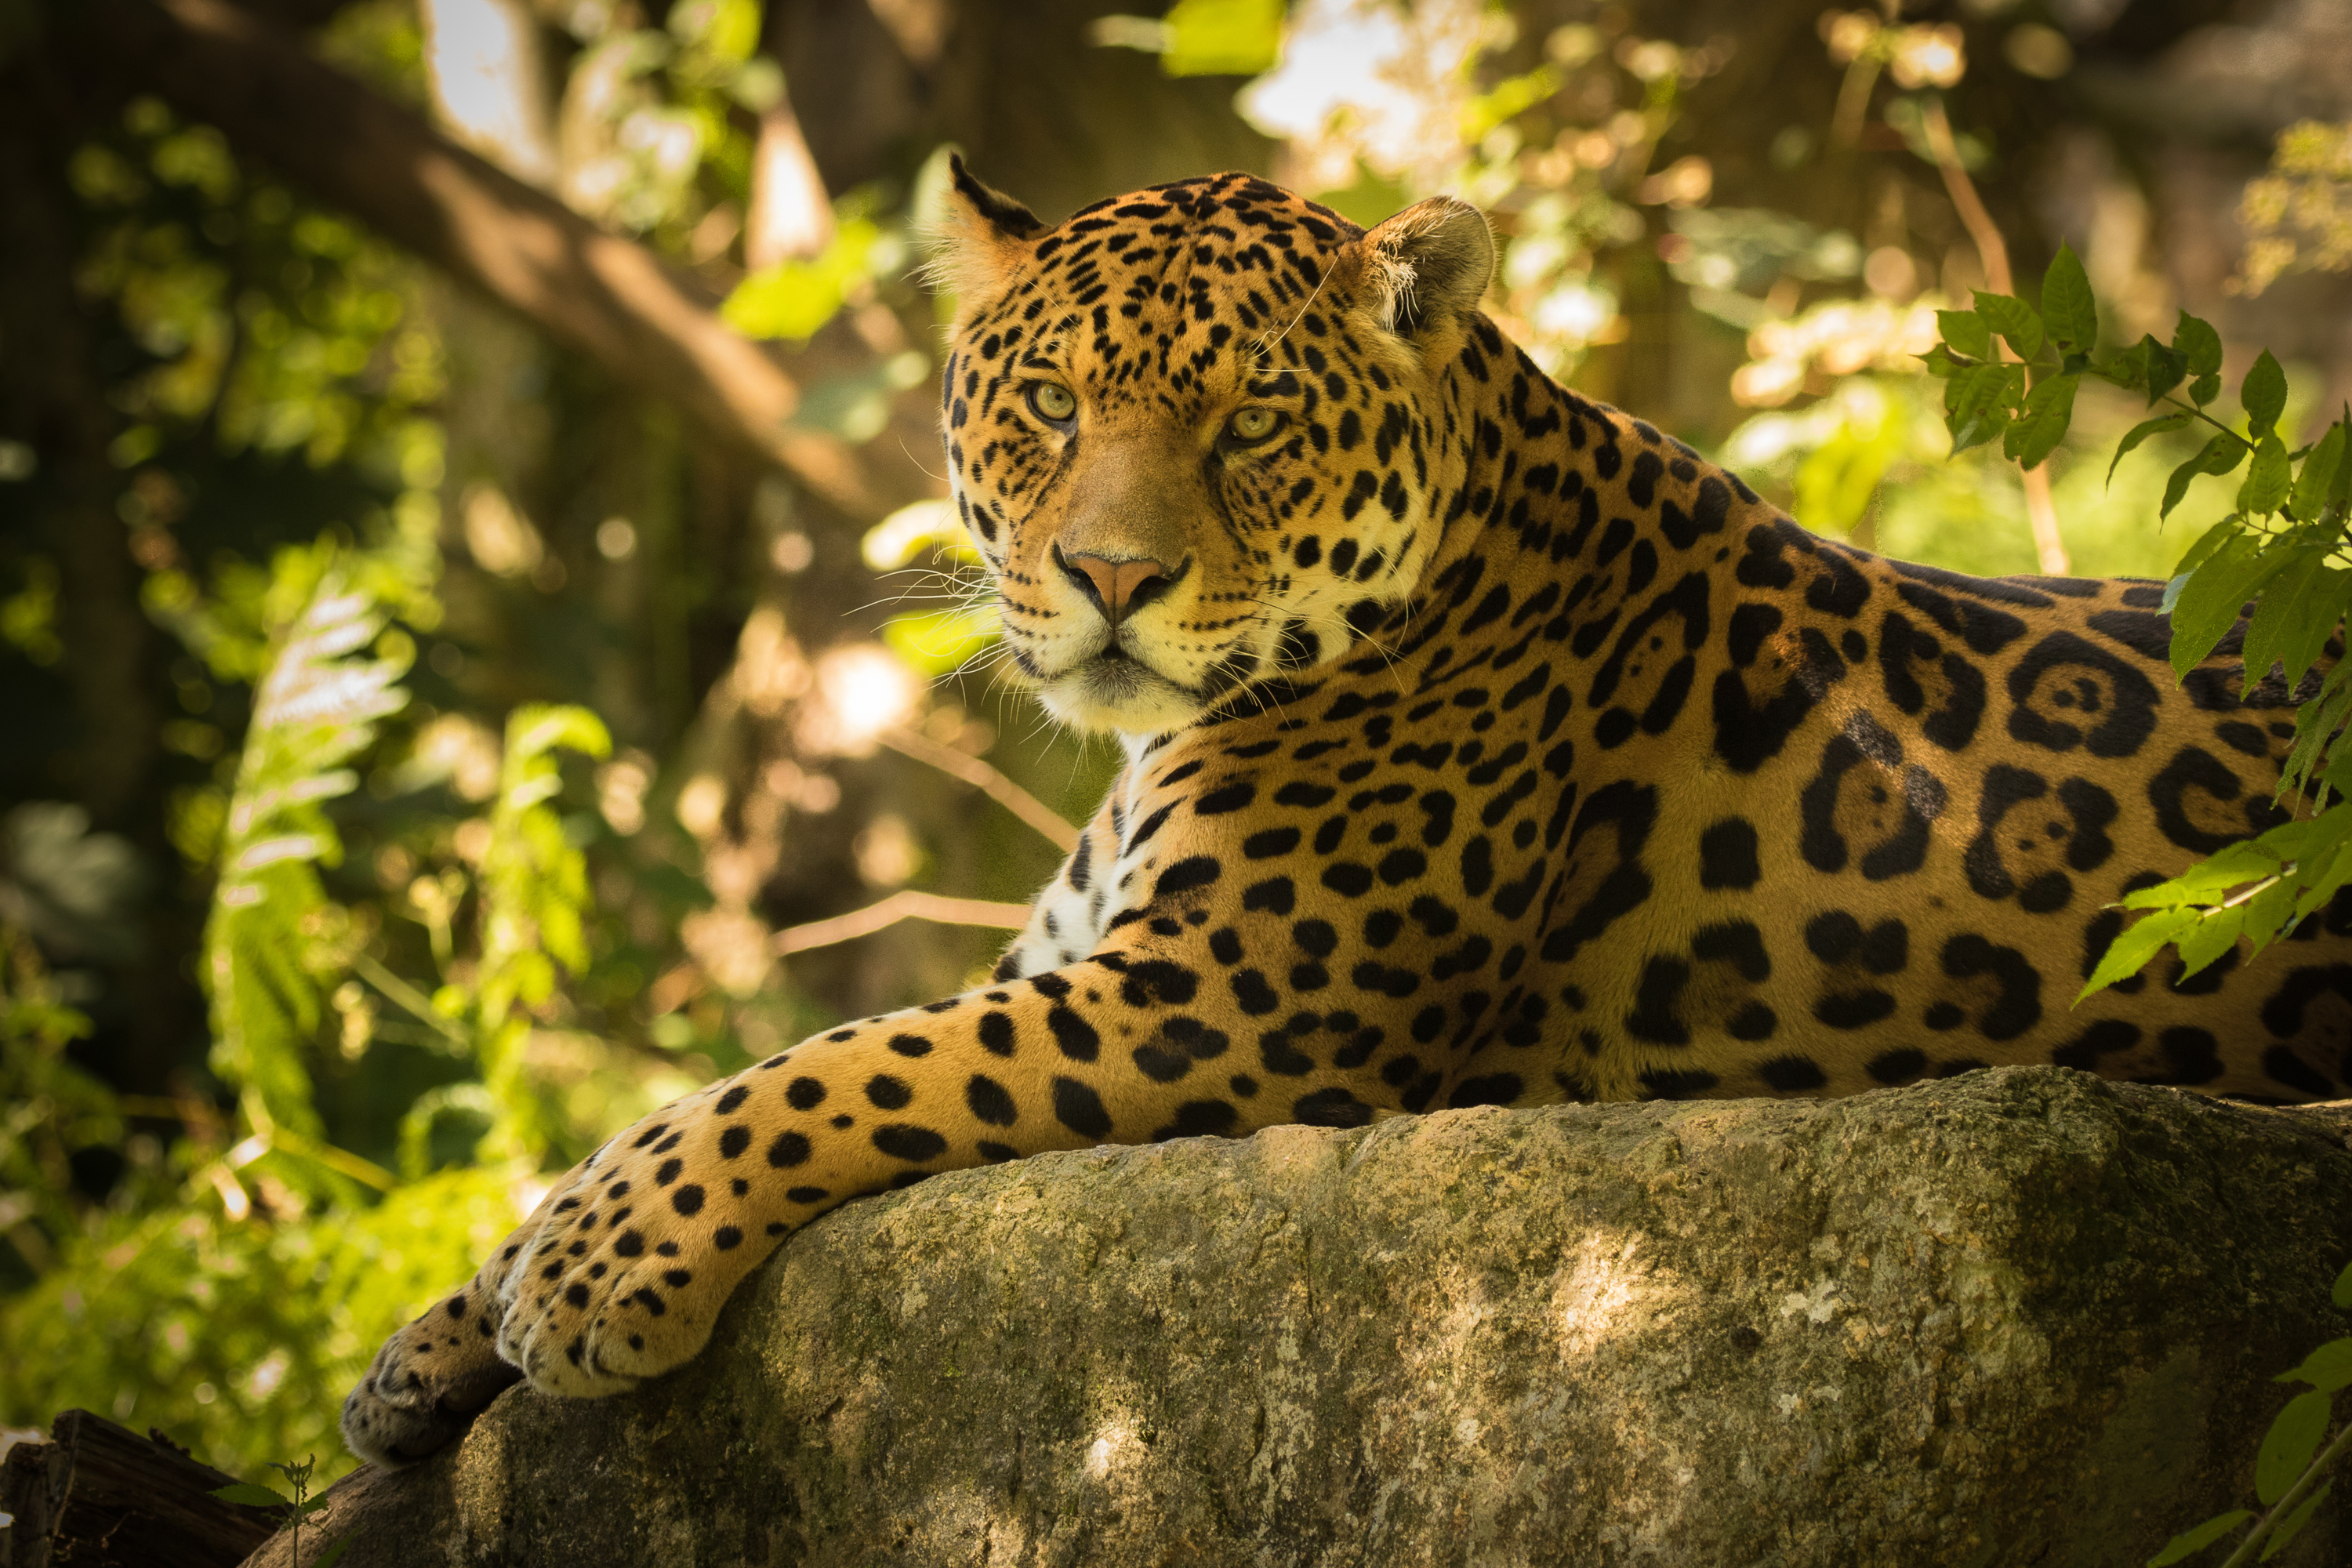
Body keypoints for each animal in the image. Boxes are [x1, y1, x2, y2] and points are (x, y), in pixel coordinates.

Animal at [341, 159, 2352, 1465]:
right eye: (1049, 400)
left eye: (1250, 427)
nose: (1111, 577)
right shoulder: (1078, 959)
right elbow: (717, 1083)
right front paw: (424, 1348)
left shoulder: (1221, 1002)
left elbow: (829, 1062)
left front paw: (597, 1268)